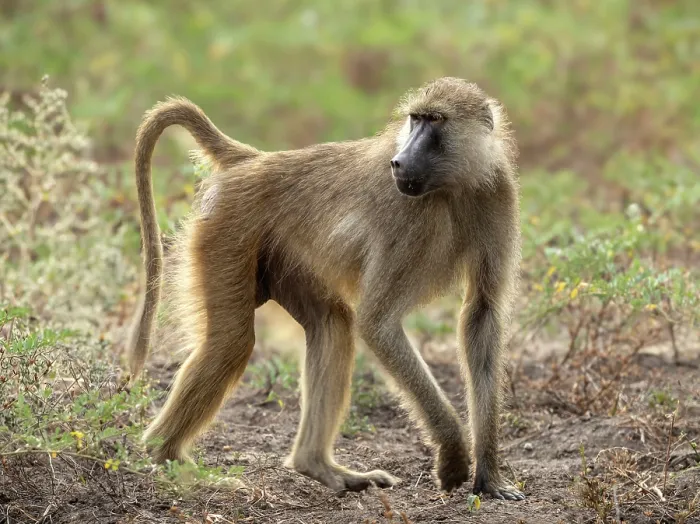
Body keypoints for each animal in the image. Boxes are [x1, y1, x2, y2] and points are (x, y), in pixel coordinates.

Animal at [126, 77, 525, 501]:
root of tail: (254, 160)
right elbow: (377, 323)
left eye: (435, 121)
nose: (398, 162)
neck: (454, 184)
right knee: (230, 343)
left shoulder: (497, 193)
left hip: (281, 255)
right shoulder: (407, 216)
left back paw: (318, 465)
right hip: (226, 231)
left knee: (332, 324)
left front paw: (489, 475)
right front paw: (452, 454)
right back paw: (170, 459)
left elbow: (481, 313)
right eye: (415, 119)